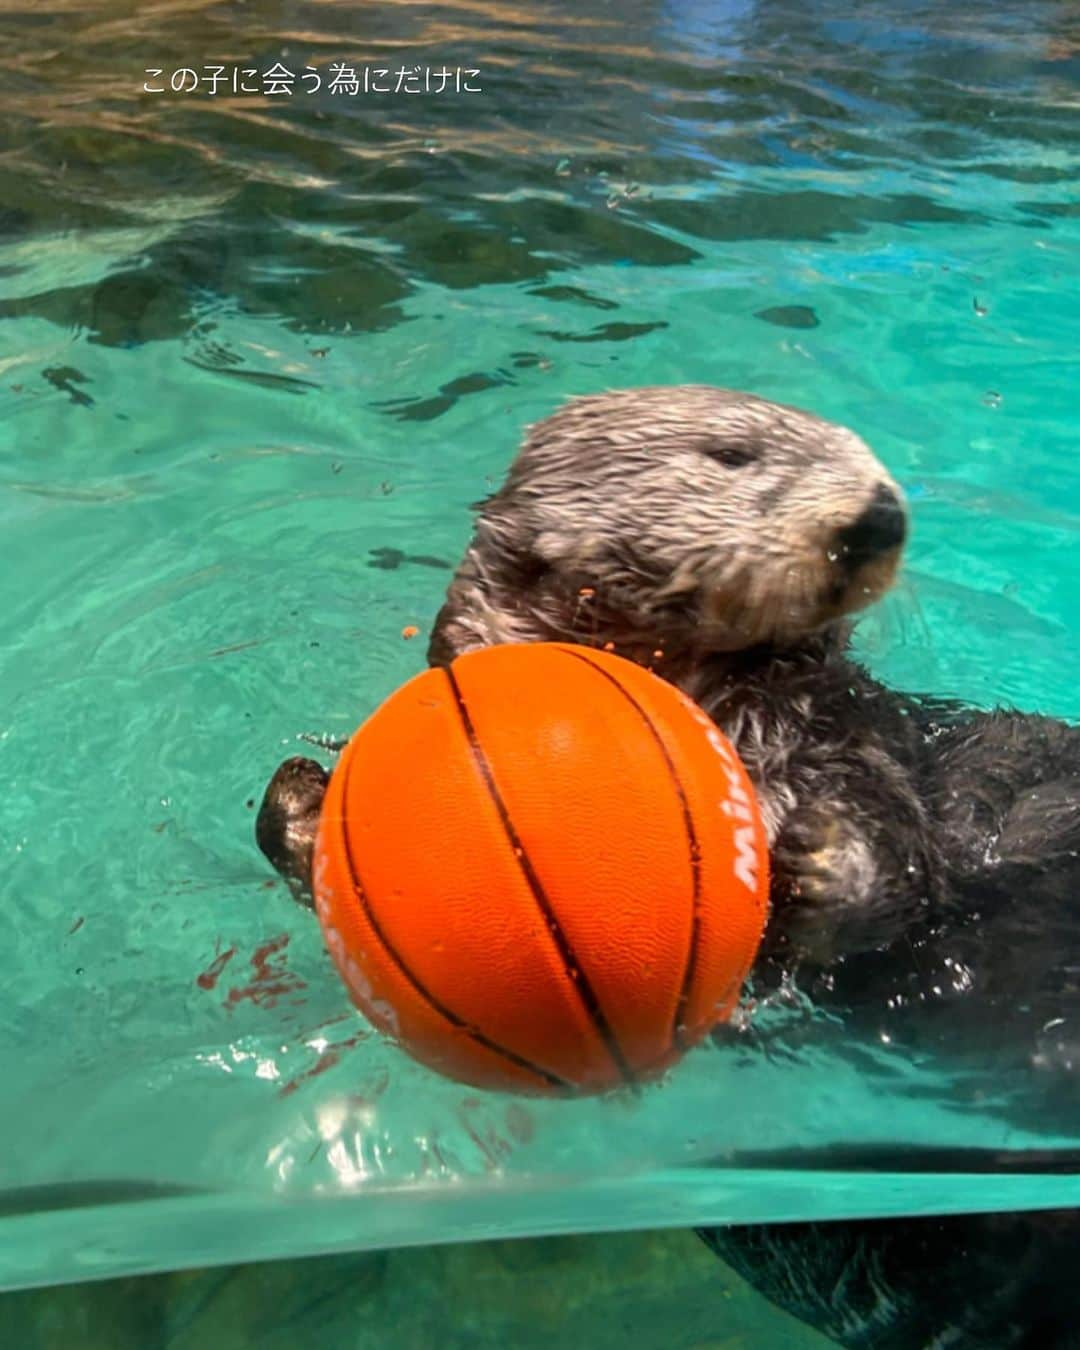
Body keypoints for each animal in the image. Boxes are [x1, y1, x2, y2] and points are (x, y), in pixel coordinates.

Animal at [255, 386, 1080, 1350]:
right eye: (730, 455)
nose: (881, 514)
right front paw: (302, 802)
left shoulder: (855, 744)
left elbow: (901, 857)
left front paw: (823, 860)